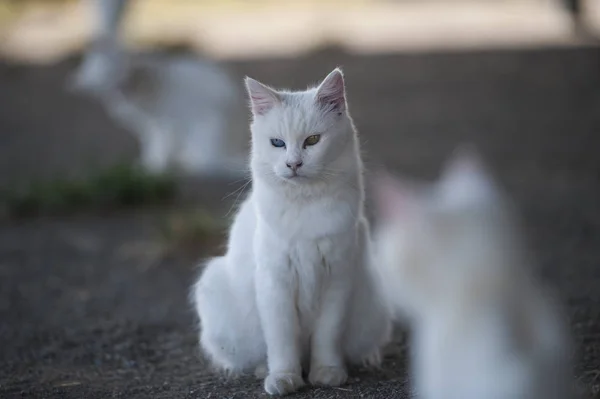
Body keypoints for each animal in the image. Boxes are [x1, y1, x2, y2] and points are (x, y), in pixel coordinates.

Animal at [190, 69, 392, 396]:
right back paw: (262, 371)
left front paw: (327, 373)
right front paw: (284, 379)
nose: (293, 164)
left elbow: (327, 337)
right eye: (277, 143)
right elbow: (282, 342)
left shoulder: (337, 279)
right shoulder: (276, 282)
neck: (305, 203)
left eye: (312, 141)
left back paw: (367, 360)